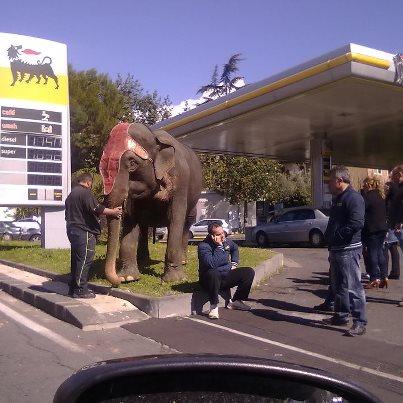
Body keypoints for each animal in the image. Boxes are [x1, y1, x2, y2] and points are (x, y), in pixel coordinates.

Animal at [100, 121, 204, 286]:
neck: (155, 137)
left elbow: (175, 217)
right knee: (143, 226)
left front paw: (174, 280)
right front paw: (129, 277)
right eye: (101, 164)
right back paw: (143, 261)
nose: (117, 281)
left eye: (132, 163)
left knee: (186, 224)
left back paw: (183, 261)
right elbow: (131, 218)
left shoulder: (181, 181)